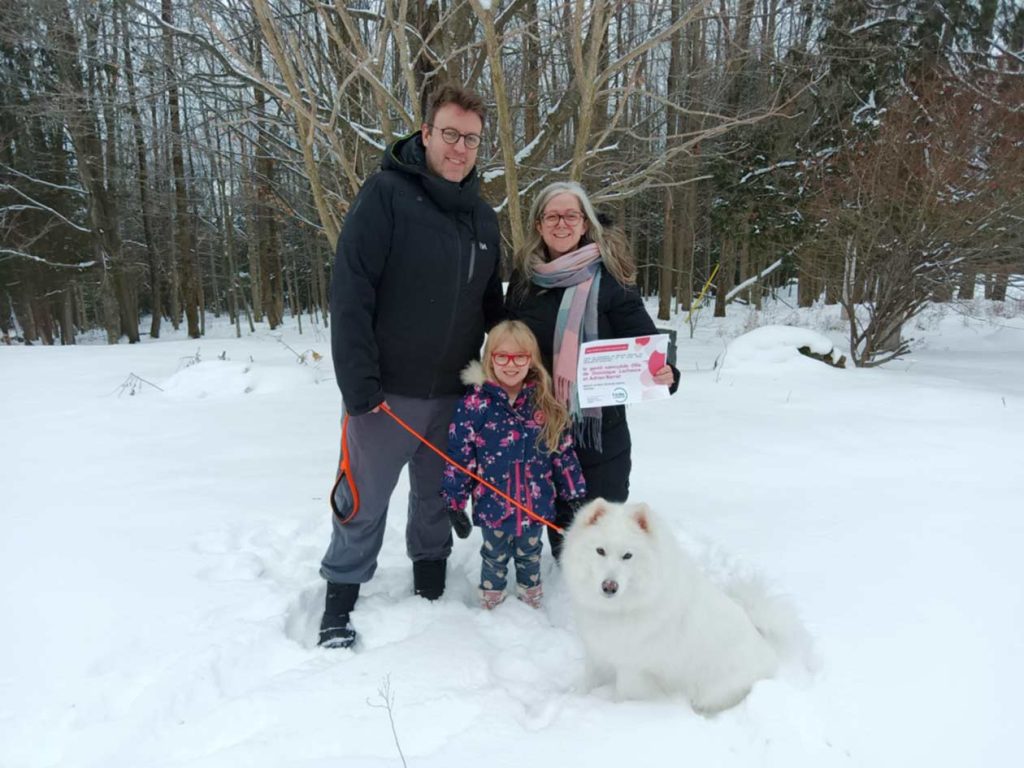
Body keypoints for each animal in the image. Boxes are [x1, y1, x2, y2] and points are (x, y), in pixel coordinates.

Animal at [561, 499, 798, 716]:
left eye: (627, 555)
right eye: (600, 551)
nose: (609, 586)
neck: (619, 609)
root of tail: (766, 647)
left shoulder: (633, 668)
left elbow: (623, 694)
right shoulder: (598, 652)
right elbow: (588, 679)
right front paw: (577, 695)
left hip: (710, 690)